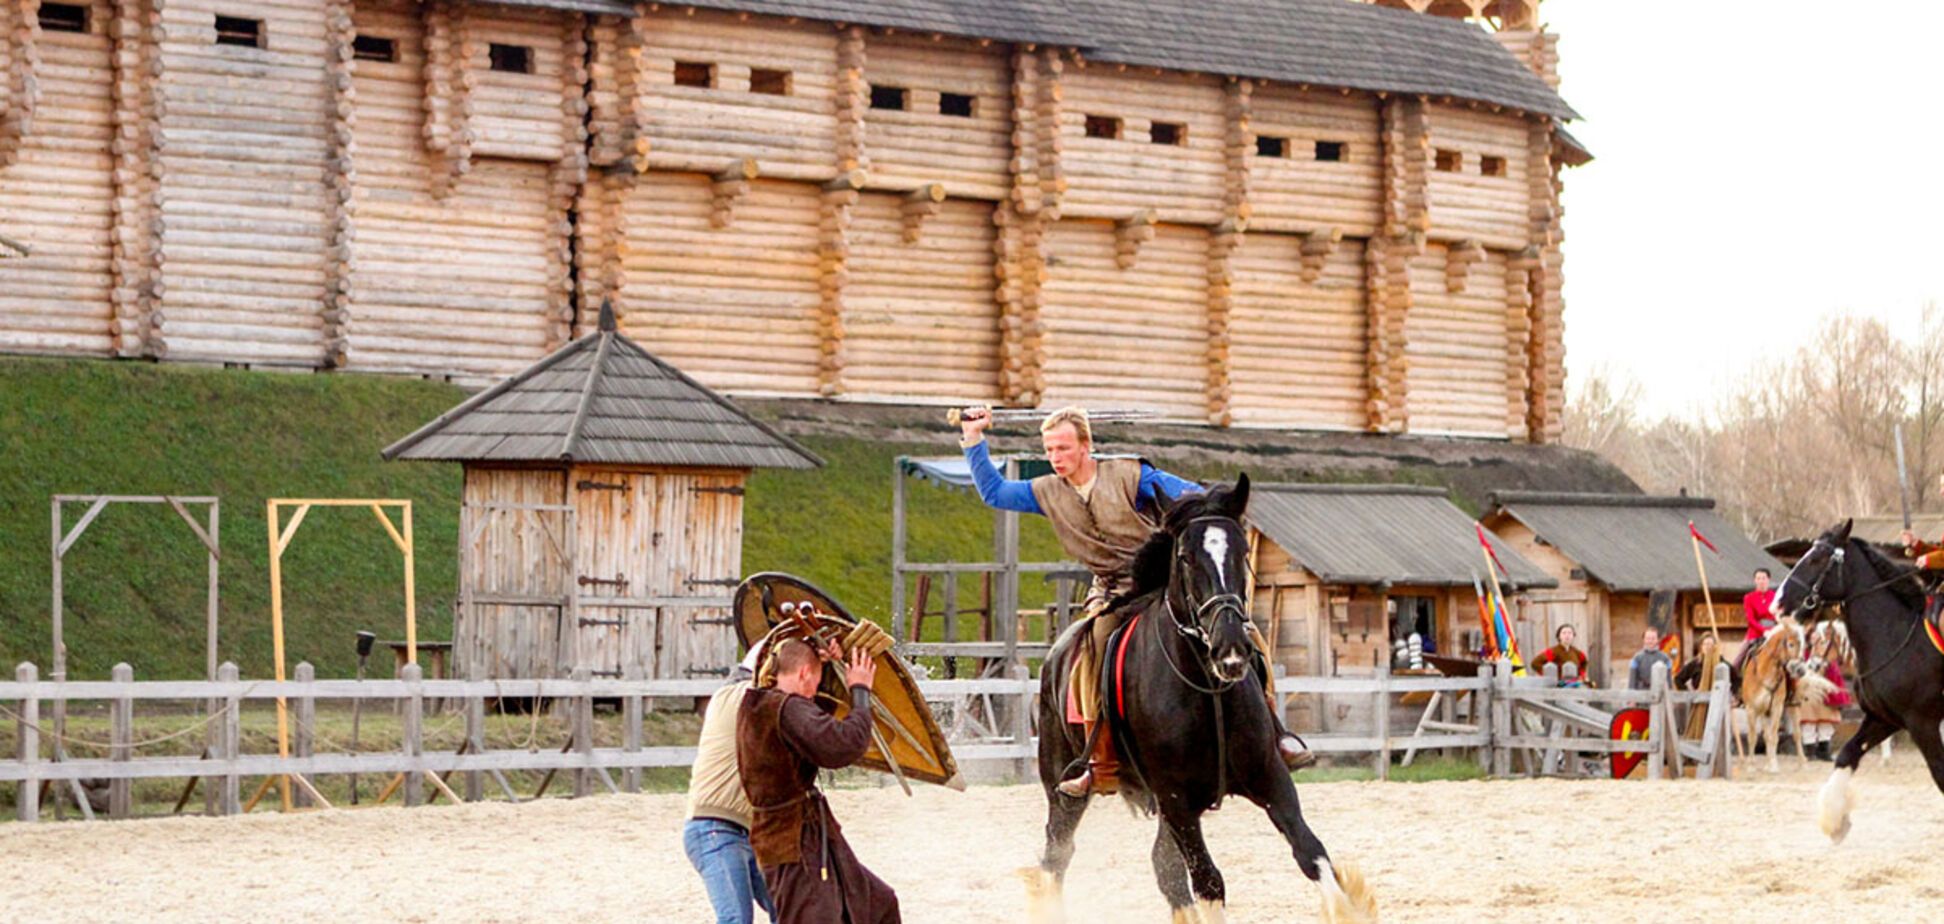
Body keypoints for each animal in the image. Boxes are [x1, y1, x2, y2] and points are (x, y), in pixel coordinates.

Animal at [1026, 476, 1376, 924]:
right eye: (1186, 558)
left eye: (1242, 552)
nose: (1231, 648)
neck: (1205, 692)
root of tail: (1053, 660)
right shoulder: (1177, 800)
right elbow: (1209, 881)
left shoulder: (1270, 777)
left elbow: (1311, 853)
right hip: (1065, 792)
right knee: (1057, 857)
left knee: (1163, 867)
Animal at [1780, 521, 1944, 848]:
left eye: (1817, 559)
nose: (1778, 600)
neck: (1896, 635)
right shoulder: (1885, 718)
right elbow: (1847, 754)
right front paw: (1835, 822)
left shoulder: (1923, 723)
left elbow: (1940, 774)